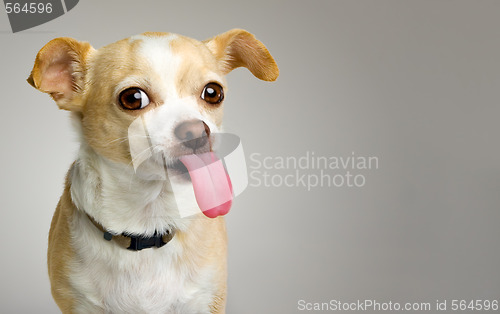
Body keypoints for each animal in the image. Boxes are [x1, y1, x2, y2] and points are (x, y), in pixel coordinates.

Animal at [28, 28, 278, 312]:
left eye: (213, 93)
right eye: (133, 98)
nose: (195, 131)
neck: (150, 218)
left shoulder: (207, 299)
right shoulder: (78, 303)